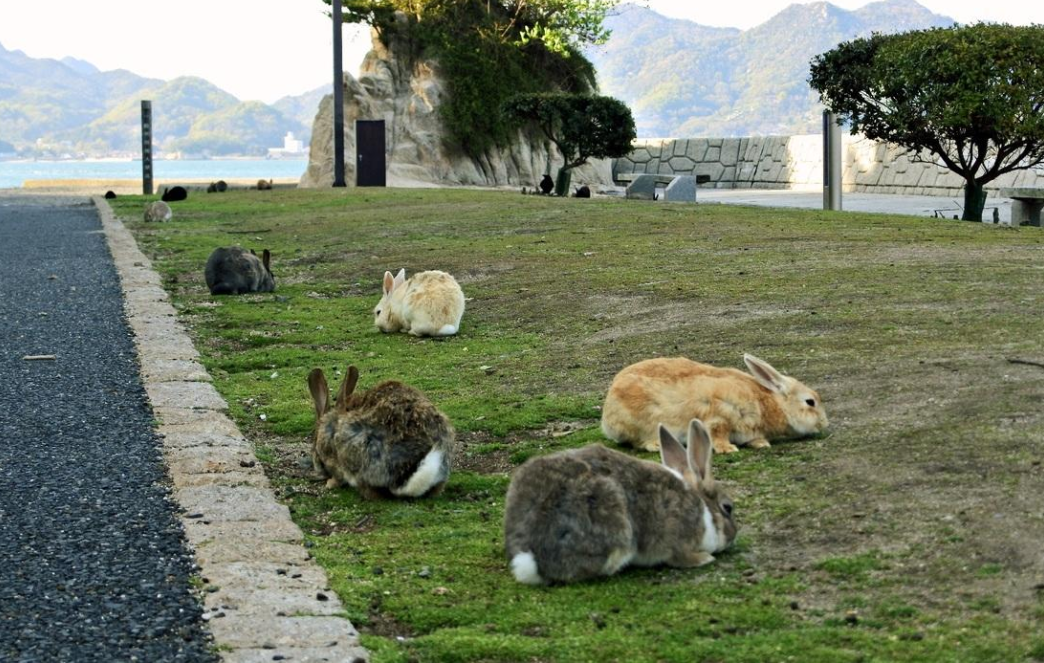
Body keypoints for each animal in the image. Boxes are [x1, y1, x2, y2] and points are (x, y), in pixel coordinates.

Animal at [503, 419, 734, 584]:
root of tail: (532, 557)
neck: (704, 509)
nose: (733, 538)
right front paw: (705, 558)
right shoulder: (678, 538)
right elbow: (679, 557)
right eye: (728, 508)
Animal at [601, 354, 826, 453]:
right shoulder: (719, 414)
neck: (767, 403)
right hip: (643, 423)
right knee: (638, 442)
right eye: (810, 402)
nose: (824, 424)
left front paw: (761, 443)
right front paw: (728, 449)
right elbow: (717, 433)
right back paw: (656, 445)